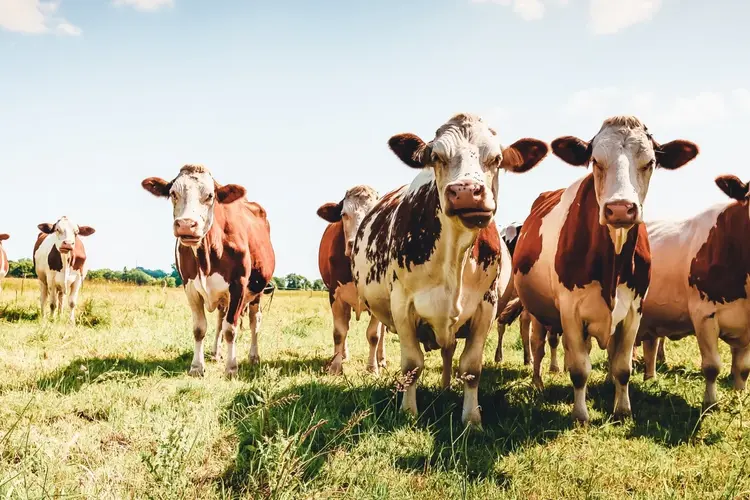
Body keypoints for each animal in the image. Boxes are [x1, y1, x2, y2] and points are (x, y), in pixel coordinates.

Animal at [141, 164, 275, 378]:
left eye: (210, 195)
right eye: (173, 193)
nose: (186, 224)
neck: (207, 255)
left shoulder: (238, 286)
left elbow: (231, 329)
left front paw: (231, 368)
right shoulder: (190, 287)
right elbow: (200, 328)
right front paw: (197, 366)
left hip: (257, 291)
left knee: (255, 320)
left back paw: (254, 357)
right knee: (220, 320)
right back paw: (215, 352)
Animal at [317, 185, 386, 375]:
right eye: (343, 214)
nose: (354, 243)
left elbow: (374, 335)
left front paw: (372, 368)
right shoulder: (335, 295)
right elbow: (339, 332)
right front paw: (335, 367)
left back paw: (381, 359)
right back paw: (343, 355)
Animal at [351, 113, 548, 426]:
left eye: (497, 158)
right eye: (436, 156)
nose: (466, 191)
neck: (453, 255)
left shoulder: (486, 307)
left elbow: (471, 367)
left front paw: (471, 418)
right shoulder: (402, 305)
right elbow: (412, 365)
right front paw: (408, 412)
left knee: (449, 349)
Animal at [512, 115, 699, 422]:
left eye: (650, 162)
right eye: (595, 161)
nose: (621, 209)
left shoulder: (634, 310)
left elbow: (622, 366)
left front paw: (622, 410)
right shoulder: (570, 311)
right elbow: (579, 368)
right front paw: (580, 415)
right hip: (536, 310)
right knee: (538, 344)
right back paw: (538, 382)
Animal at [637, 174, 749, 409]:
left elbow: (743, 369)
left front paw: (739, 399)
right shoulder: (704, 315)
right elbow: (712, 366)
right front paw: (710, 403)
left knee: (650, 344)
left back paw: (650, 380)